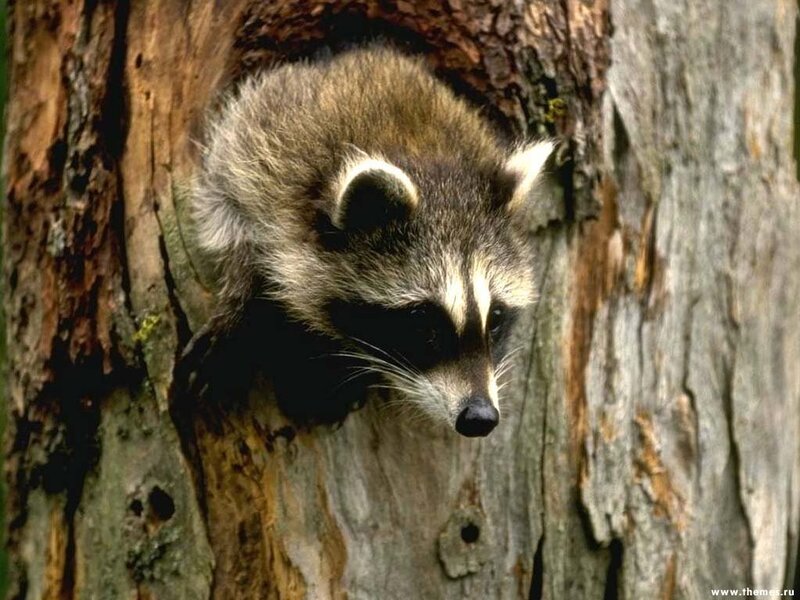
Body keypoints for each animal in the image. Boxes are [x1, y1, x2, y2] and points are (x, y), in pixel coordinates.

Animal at [190, 46, 553, 437]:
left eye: (496, 317)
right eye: (421, 319)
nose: (479, 417)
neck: (425, 155)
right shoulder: (255, 148)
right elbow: (231, 218)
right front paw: (240, 305)